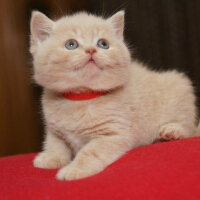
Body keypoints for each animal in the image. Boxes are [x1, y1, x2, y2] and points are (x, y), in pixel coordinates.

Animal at [29, 10, 198, 180]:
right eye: (71, 44)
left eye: (103, 44)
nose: (91, 50)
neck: (81, 98)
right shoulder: (54, 130)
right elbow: (54, 144)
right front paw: (49, 157)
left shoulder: (113, 134)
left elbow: (90, 152)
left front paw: (74, 170)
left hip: (180, 86)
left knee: (189, 126)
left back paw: (172, 131)